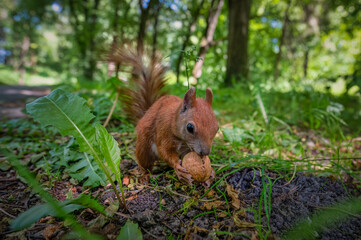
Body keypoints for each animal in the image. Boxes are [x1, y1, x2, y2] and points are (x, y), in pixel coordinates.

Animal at [108, 47, 218, 186]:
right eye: (190, 128)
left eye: (217, 128)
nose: (205, 153)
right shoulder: (164, 132)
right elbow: (164, 151)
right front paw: (178, 169)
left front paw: (211, 173)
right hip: (144, 147)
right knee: (144, 163)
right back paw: (144, 175)